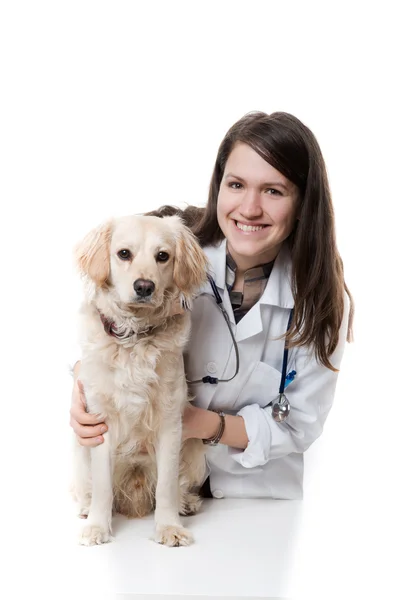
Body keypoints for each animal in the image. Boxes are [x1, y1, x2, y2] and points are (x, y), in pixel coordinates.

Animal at [71, 213, 209, 548]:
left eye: (163, 256)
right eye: (124, 254)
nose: (145, 286)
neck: (134, 338)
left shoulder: (170, 421)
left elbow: (167, 486)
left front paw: (169, 527)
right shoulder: (100, 421)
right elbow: (103, 486)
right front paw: (97, 527)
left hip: (197, 452)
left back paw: (186, 503)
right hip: (79, 450)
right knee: (89, 488)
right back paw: (86, 508)